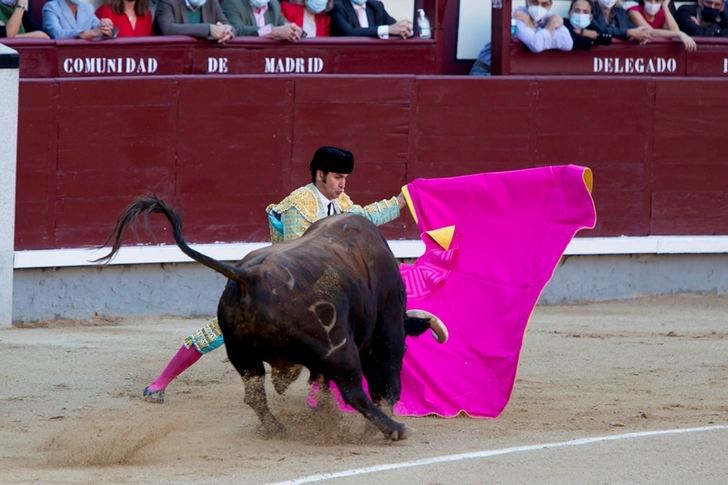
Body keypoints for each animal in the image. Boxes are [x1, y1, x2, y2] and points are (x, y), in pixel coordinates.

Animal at [94, 196, 446, 438]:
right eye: (406, 350)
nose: (393, 397)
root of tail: (251, 277)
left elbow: (320, 382)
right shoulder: (387, 329)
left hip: (242, 353)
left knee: (255, 394)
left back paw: (279, 427)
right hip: (339, 348)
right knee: (352, 389)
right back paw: (392, 428)